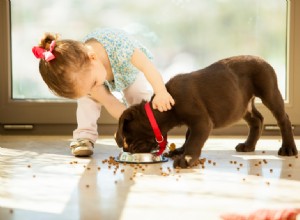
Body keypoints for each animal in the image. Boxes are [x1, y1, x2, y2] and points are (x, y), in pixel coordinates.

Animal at [115, 55, 298, 168]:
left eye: (128, 139)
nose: (126, 150)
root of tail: (262, 59)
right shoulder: (194, 123)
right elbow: (188, 136)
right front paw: (181, 151)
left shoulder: (201, 122)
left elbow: (194, 140)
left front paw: (186, 158)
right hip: (241, 105)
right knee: (257, 119)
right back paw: (248, 145)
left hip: (269, 92)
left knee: (283, 118)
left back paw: (288, 148)